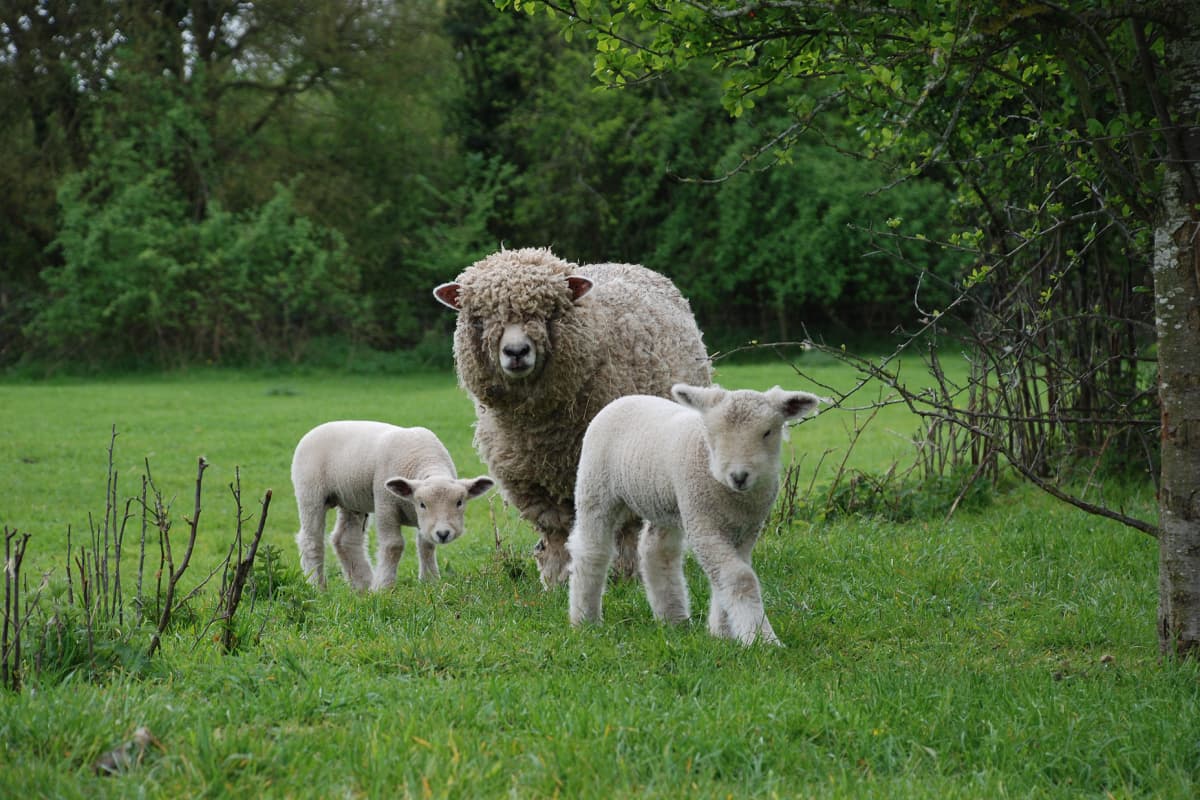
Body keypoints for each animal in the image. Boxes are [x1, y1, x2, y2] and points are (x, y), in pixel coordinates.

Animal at [291, 420, 494, 589]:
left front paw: (430, 581)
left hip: (351, 499)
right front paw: (384, 587)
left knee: (345, 540)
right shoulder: (385, 504)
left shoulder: (426, 524)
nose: (443, 534)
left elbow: (426, 546)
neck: (425, 461)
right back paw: (317, 586)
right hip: (310, 492)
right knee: (311, 540)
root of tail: (314, 430)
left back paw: (363, 585)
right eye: (422, 504)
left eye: (460, 502)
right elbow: (393, 545)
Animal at [433, 246, 711, 588]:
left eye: (550, 312)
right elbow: (554, 529)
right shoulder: (530, 479)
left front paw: (624, 575)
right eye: (480, 318)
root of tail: (624, 263)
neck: (542, 430)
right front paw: (557, 579)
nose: (516, 351)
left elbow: (623, 527)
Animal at [567, 384, 821, 646]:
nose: (739, 476)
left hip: (664, 501)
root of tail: (625, 398)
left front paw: (722, 633)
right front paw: (761, 638)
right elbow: (740, 577)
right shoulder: (703, 524)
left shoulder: (746, 530)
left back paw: (672, 619)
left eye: (767, 432)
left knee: (656, 550)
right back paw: (585, 620)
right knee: (592, 551)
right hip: (595, 487)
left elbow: (725, 578)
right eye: (713, 433)